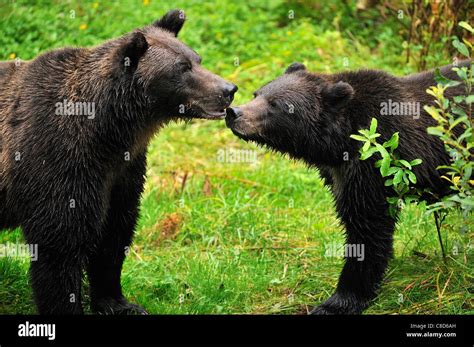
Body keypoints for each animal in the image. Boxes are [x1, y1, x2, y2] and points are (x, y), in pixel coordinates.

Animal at [0, 8, 237, 316]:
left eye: (197, 59)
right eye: (182, 68)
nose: (229, 89)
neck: (108, 131)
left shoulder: (122, 170)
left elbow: (114, 232)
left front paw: (118, 302)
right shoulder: (56, 160)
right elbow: (60, 243)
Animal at [225, 61, 466, 316]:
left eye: (275, 105)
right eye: (257, 94)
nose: (233, 112)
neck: (340, 142)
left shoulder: (373, 167)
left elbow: (367, 229)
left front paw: (339, 301)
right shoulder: (340, 174)